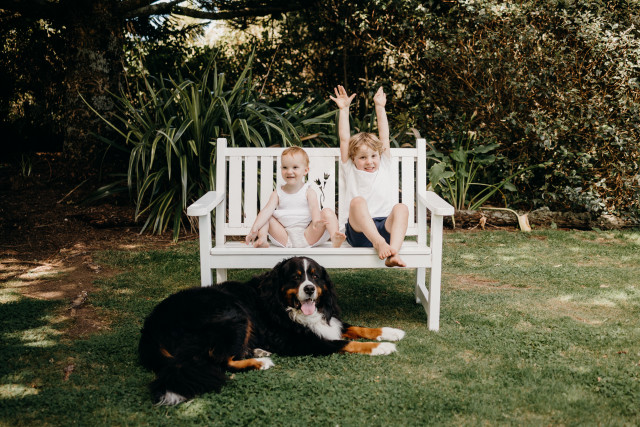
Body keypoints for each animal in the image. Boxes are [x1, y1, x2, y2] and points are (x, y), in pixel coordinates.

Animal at [138, 256, 405, 405]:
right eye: (296, 278)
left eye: (315, 276)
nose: (309, 289)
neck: (284, 306)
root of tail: (150, 328)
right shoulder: (302, 342)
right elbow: (347, 343)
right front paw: (383, 347)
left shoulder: (328, 322)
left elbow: (357, 328)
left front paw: (391, 332)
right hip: (233, 313)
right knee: (218, 360)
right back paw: (260, 362)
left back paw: (257, 351)